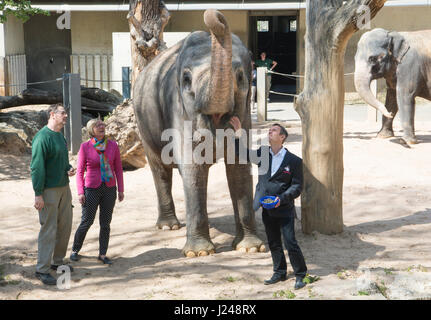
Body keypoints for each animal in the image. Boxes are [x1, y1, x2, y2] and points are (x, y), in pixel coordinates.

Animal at [133, 9, 264, 258]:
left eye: (240, 77)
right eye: (186, 80)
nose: (216, 15)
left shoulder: (245, 117)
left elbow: (240, 168)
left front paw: (250, 248)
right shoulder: (179, 111)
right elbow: (193, 168)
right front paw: (199, 253)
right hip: (143, 125)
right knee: (160, 168)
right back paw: (168, 226)